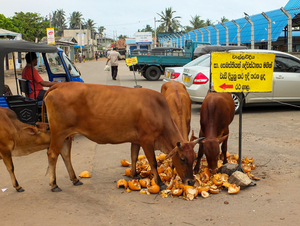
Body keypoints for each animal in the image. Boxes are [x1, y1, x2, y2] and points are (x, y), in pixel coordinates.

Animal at [42, 82, 203, 192]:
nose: (191, 182)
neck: (159, 111)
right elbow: (153, 162)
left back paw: (75, 179)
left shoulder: (136, 140)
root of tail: (59, 84)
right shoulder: (147, 140)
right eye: (182, 159)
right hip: (58, 133)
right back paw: (54, 184)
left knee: (65, 154)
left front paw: (134, 174)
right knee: (52, 154)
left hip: (67, 136)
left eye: (194, 157)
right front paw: (160, 182)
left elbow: (133, 156)